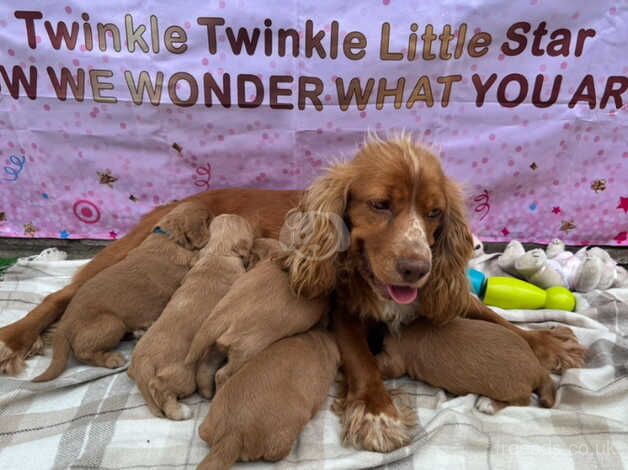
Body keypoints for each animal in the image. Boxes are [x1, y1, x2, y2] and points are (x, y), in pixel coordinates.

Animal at [33, 202, 211, 382]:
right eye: (209, 218)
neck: (167, 236)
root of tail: (63, 326)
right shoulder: (189, 259)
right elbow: (197, 255)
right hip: (112, 323)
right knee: (82, 352)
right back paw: (111, 359)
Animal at [372, 316, 556, 412]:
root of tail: (539, 369)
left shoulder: (394, 360)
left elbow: (380, 365)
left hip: (509, 388)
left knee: (524, 400)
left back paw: (488, 404)